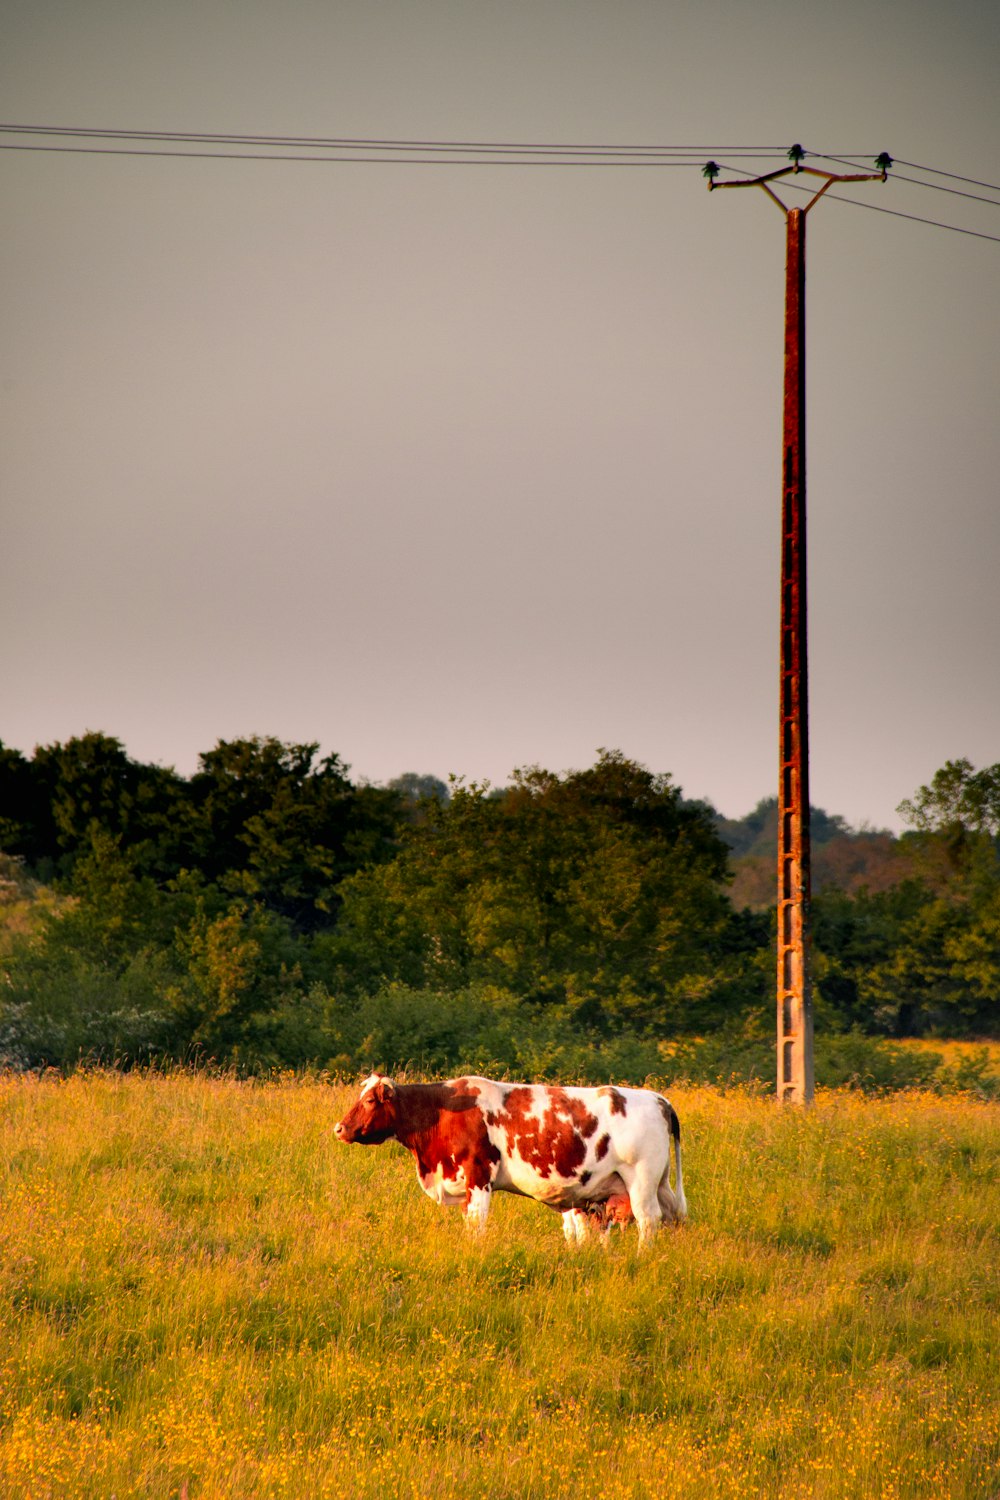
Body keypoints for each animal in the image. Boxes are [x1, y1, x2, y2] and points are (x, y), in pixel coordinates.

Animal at [332, 1074, 683, 1248]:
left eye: (369, 1100)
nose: (339, 1128)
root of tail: (658, 1099)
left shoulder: (478, 1176)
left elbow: (477, 1223)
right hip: (658, 1185)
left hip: (641, 1180)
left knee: (649, 1220)